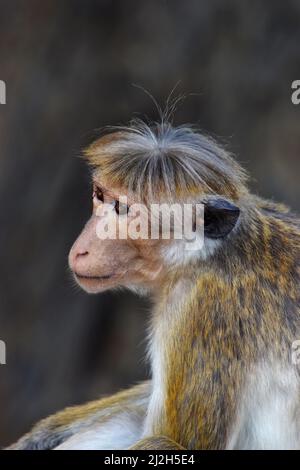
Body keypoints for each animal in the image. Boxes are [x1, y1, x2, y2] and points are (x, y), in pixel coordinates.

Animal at [6, 119, 300, 450]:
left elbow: (174, 441)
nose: (81, 249)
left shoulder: (200, 311)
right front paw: (42, 433)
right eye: (100, 195)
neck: (204, 257)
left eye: (122, 209)